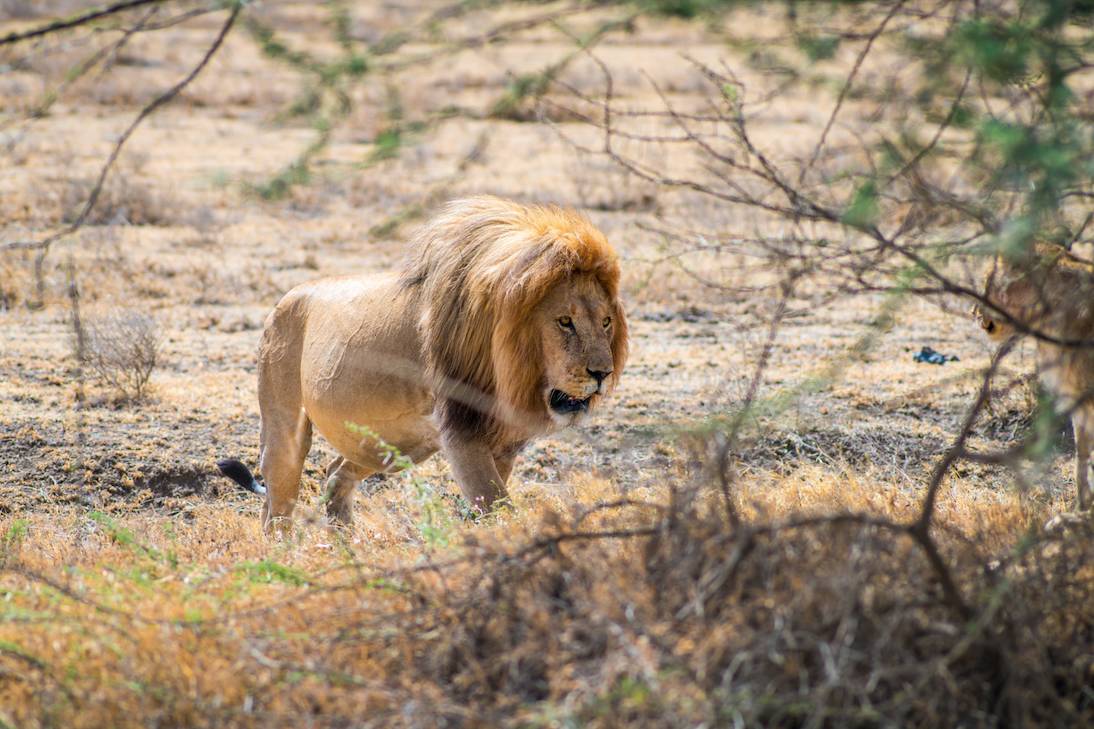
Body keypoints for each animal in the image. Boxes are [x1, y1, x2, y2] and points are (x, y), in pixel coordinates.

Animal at [217, 195, 630, 531]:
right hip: (285, 428)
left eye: (606, 322)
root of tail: (285, 298)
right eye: (565, 321)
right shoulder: (462, 432)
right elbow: (498, 508)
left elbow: (492, 506)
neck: (518, 374)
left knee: (334, 475)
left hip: (392, 444)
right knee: (277, 506)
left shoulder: (503, 444)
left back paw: (349, 545)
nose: (602, 373)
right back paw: (285, 557)